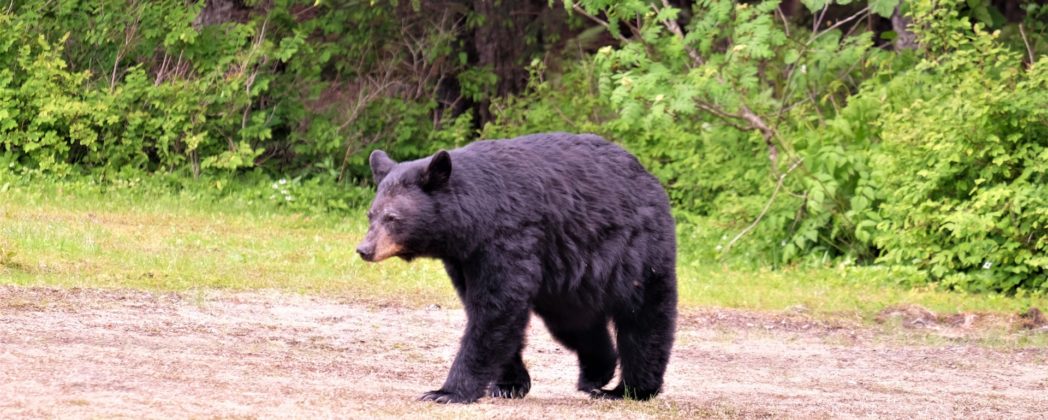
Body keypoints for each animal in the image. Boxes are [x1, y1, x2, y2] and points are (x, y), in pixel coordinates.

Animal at [356, 132, 677, 403]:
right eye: (371, 214)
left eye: (393, 218)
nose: (364, 249)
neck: (474, 220)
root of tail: (649, 177)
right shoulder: (464, 258)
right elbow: (485, 309)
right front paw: (509, 385)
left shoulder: (508, 237)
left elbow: (497, 308)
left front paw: (446, 391)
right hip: (568, 279)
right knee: (576, 323)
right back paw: (596, 373)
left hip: (636, 251)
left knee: (644, 317)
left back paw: (631, 389)